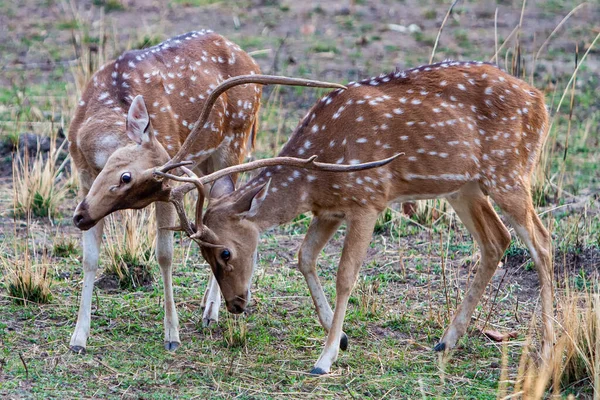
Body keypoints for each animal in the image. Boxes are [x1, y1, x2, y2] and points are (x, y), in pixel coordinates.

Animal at [68, 32, 344, 356]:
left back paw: (211, 311)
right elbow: (90, 257)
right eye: (125, 177)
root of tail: (248, 57)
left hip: (235, 143)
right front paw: (78, 338)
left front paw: (172, 335)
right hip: (205, 160)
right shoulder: (84, 177)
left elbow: (164, 255)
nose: (80, 217)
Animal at [158, 60, 552, 376]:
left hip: (509, 172)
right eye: (203, 254)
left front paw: (325, 358)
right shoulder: (330, 209)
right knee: (496, 239)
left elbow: (346, 275)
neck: (315, 175)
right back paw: (446, 341)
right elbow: (304, 257)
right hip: (464, 187)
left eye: (225, 252)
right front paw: (342, 337)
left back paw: (547, 347)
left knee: (541, 241)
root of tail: (540, 102)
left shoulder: (368, 199)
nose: (236, 305)